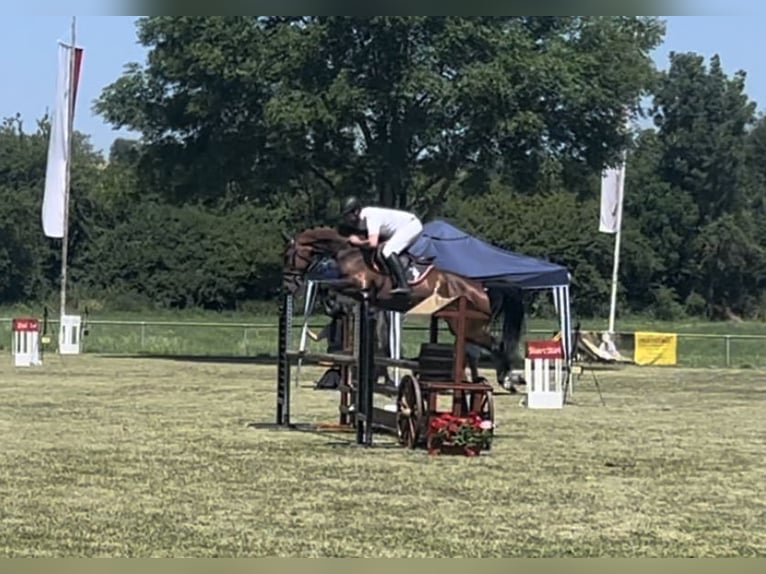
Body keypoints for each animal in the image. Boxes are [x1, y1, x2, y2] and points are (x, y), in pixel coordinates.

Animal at [282, 225, 528, 392]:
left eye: (288, 255)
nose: (289, 285)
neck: (349, 252)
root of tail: (481, 287)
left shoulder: (358, 285)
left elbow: (327, 285)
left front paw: (331, 305)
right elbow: (330, 288)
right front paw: (333, 307)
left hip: (470, 326)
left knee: (496, 345)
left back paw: (508, 380)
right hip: (462, 325)